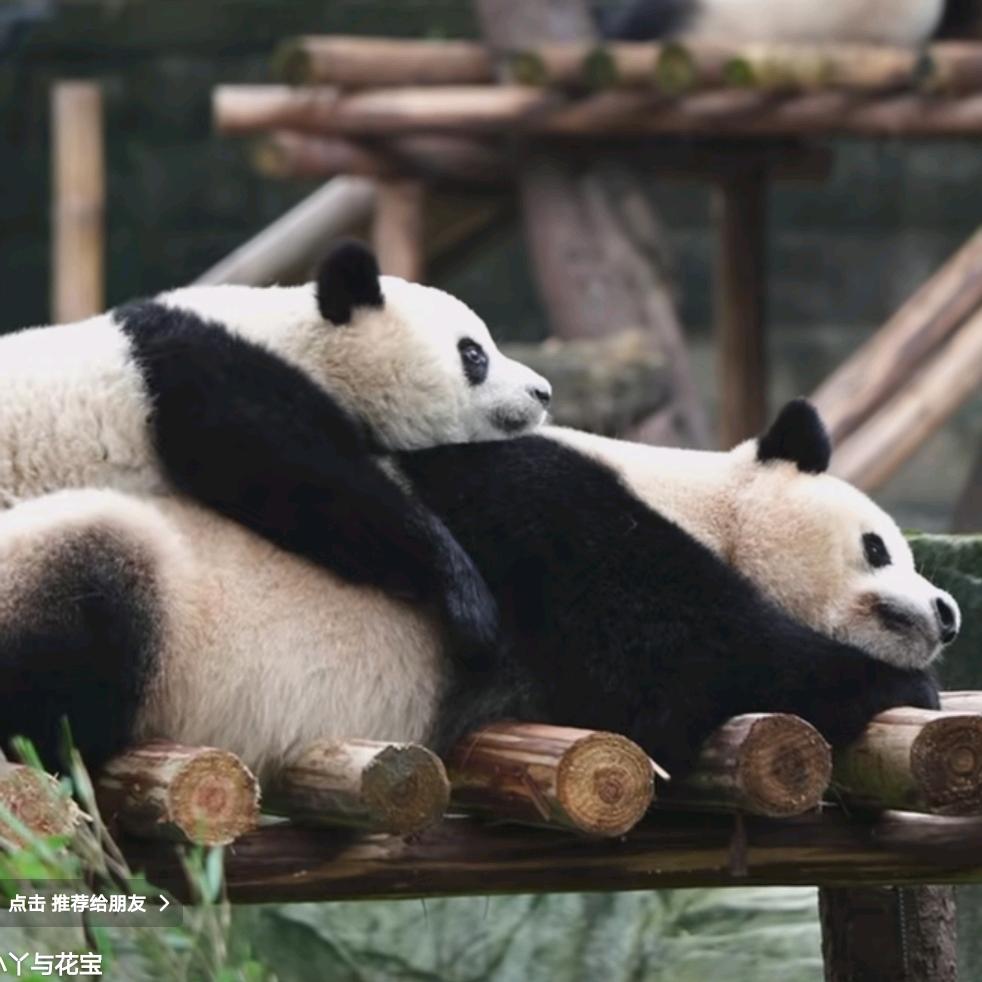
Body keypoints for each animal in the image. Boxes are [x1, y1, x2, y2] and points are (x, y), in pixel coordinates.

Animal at [0, 241, 551, 667]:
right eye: (473, 353)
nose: (543, 392)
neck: (295, 337)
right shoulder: (207, 381)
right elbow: (313, 487)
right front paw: (471, 605)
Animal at [0, 399, 956, 781]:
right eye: (877, 547)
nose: (948, 612)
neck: (693, 496)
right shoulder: (540, 517)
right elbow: (672, 669)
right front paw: (903, 685)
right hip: (114, 573)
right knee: (94, 585)